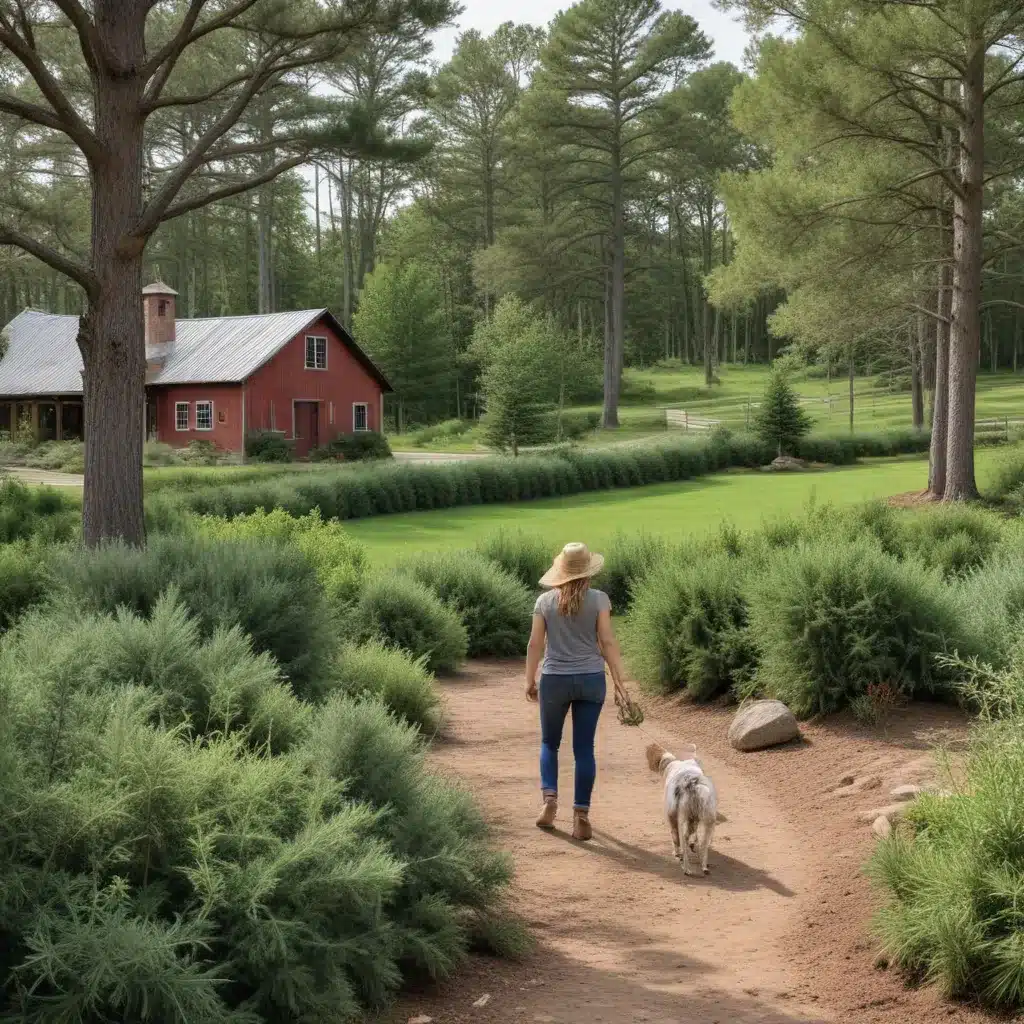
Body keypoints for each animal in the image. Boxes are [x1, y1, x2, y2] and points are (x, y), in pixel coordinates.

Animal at [647, 741, 720, 876]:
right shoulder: (693, 818)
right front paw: (692, 844)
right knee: (703, 845)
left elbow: (675, 838)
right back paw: (704, 866)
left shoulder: (672, 816)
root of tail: (692, 784)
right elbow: (693, 835)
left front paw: (677, 853)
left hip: (682, 818)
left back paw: (686, 868)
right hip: (708, 821)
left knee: (683, 839)